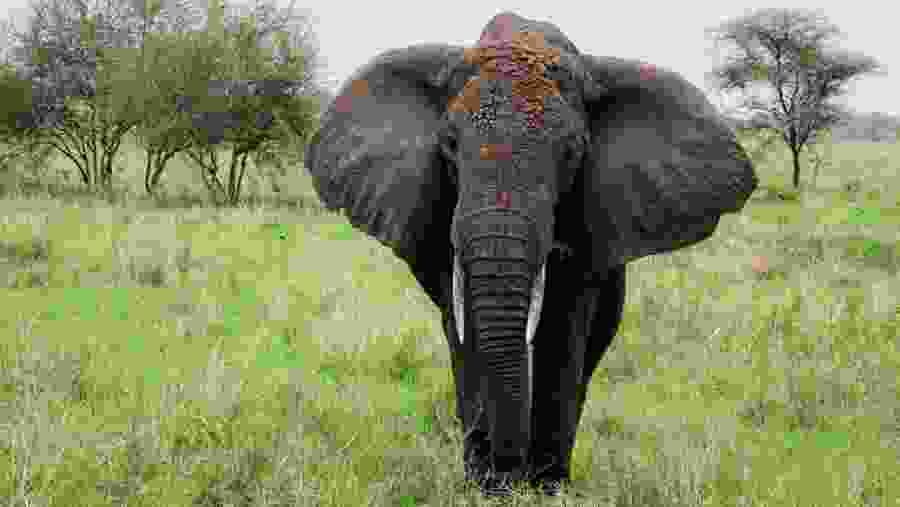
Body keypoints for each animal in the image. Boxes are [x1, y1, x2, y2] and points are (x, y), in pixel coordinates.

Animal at [304, 11, 757, 497]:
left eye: (574, 153)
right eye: (448, 145)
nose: (508, 473)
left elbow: (563, 326)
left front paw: (546, 486)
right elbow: (466, 331)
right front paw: (487, 485)